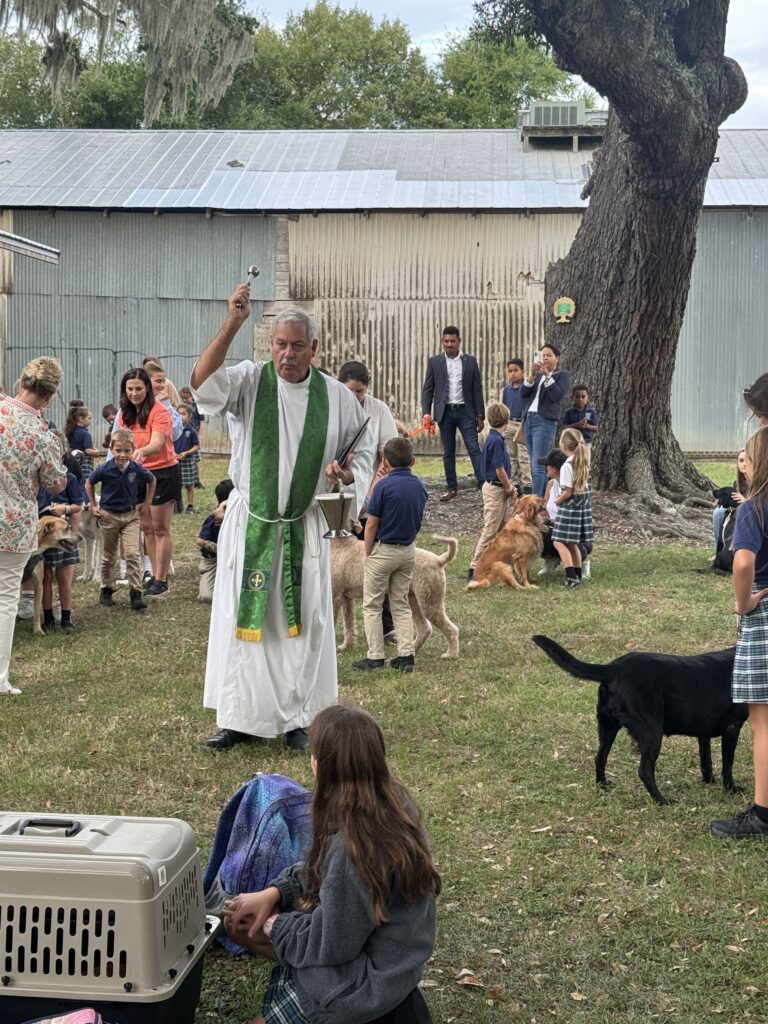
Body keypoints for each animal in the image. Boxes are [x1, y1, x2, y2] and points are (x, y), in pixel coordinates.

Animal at [331, 535, 460, 659]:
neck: (342, 545)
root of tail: (439, 560)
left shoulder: (335, 596)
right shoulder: (346, 598)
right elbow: (349, 626)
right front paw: (346, 647)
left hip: (429, 603)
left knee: (452, 630)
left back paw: (451, 654)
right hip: (414, 600)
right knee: (425, 629)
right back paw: (412, 649)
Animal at [532, 634, 746, 805]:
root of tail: (614, 668)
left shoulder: (703, 732)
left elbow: (706, 760)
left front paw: (709, 782)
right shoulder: (732, 727)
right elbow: (727, 765)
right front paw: (731, 789)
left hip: (608, 728)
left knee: (600, 757)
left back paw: (603, 785)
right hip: (651, 733)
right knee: (644, 770)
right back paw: (662, 800)